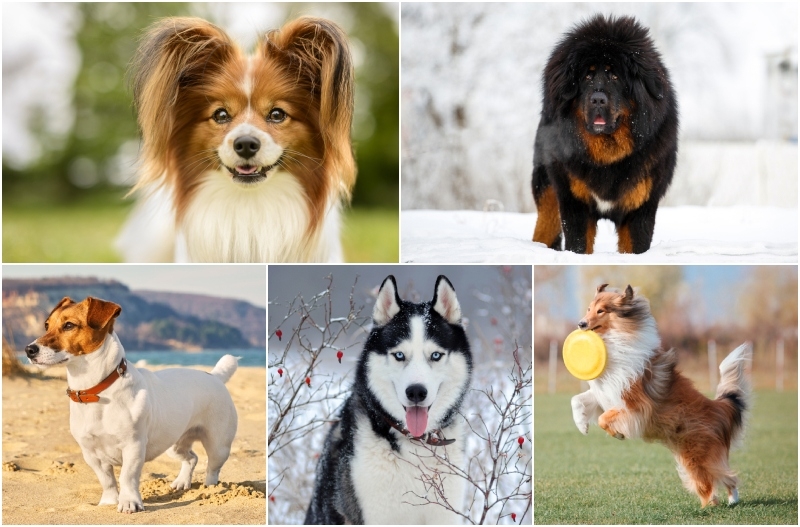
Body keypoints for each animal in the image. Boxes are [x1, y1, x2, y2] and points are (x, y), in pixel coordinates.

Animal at [568, 284, 752, 508]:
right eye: (588, 309)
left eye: (601, 311)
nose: (581, 324)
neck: (615, 340)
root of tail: (717, 407)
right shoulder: (605, 393)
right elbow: (577, 400)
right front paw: (582, 426)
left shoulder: (634, 404)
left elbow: (604, 418)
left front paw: (618, 433)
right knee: (718, 478)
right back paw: (725, 501)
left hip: (696, 454)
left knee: (719, 478)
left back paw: (717, 503)